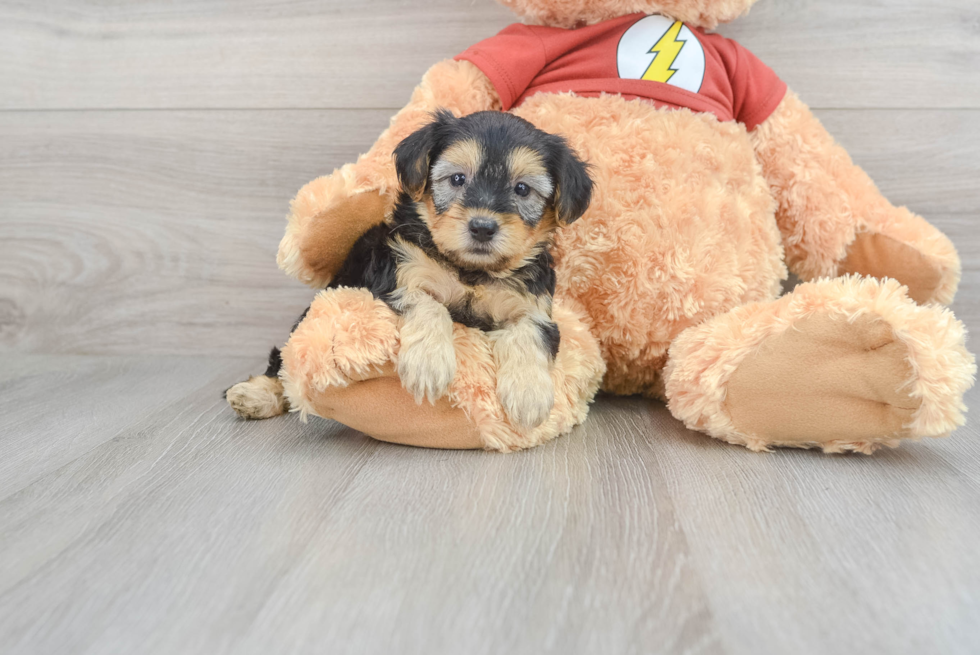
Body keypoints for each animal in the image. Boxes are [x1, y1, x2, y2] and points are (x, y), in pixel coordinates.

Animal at [227, 109, 592, 430]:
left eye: (522, 189)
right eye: (457, 179)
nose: (483, 227)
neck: (470, 270)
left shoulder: (533, 306)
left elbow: (529, 334)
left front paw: (529, 394)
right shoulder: (398, 277)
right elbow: (428, 303)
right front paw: (428, 364)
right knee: (283, 360)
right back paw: (256, 394)